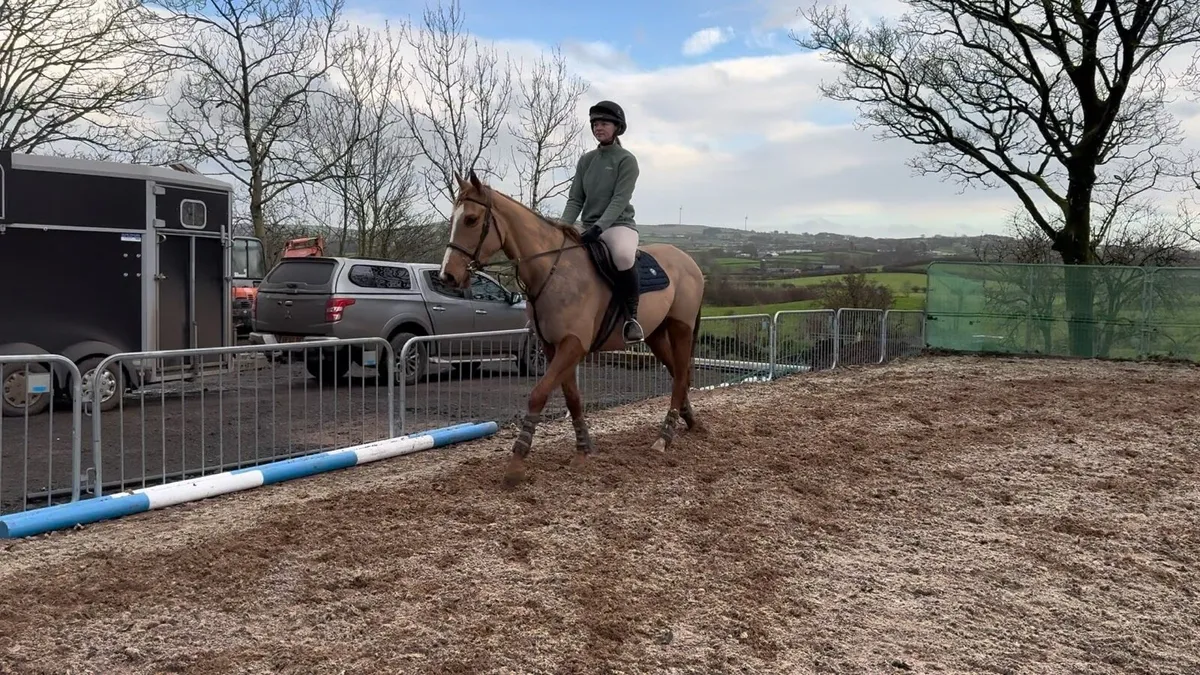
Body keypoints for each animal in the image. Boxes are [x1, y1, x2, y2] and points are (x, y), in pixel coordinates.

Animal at [439, 170, 707, 487]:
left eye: (470, 219)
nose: (447, 276)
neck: (552, 271)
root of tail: (689, 261)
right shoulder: (553, 346)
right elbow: (572, 397)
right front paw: (583, 449)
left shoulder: (573, 344)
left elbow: (539, 394)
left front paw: (516, 463)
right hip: (655, 334)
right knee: (678, 374)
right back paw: (689, 421)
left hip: (681, 328)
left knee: (680, 377)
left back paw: (665, 436)